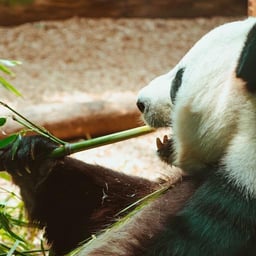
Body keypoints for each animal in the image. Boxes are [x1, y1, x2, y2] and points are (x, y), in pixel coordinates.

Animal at [1, 17, 256, 255]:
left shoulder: (236, 208)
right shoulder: (173, 184)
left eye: (178, 80)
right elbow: (99, 207)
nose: (140, 103)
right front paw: (32, 159)